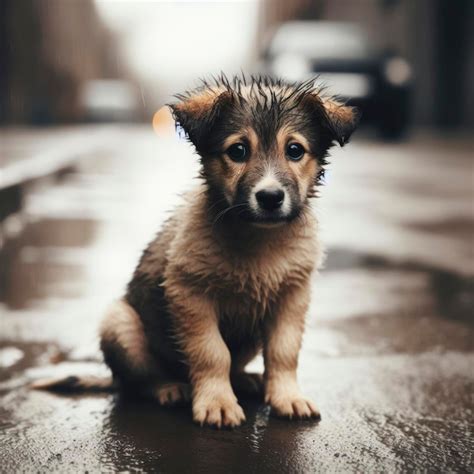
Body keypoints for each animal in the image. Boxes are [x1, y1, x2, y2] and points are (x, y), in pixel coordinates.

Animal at [37, 76, 358, 428]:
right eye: (238, 150)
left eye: (295, 150)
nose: (270, 197)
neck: (257, 240)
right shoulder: (190, 293)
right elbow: (212, 352)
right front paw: (218, 401)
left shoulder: (292, 297)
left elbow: (283, 352)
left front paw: (288, 396)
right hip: (119, 323)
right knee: (141, 380)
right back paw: (171, 387)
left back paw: (245, 379)